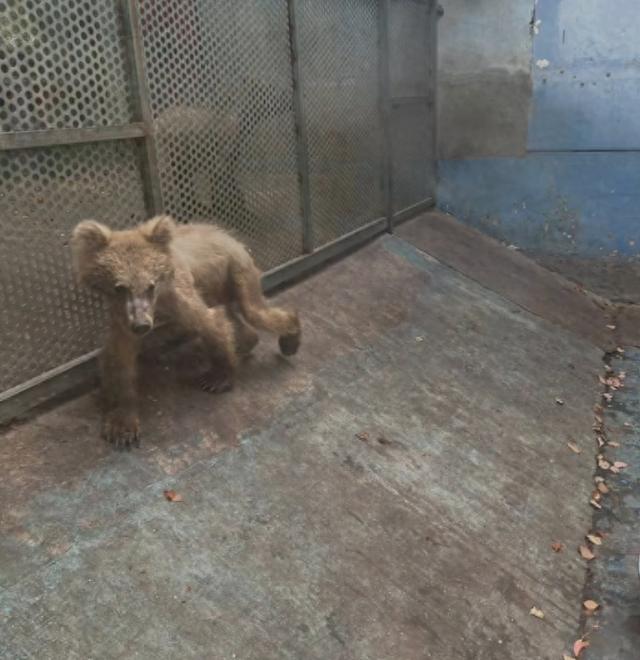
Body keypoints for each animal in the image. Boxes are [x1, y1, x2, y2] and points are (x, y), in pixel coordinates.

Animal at [71, 217, 302, 448]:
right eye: (120, 287)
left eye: (150, 285)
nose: (142, 325)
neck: (157, 304)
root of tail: (230, 237)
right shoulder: (122, 318)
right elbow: (120, 358)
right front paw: (122, 427)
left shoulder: (180, 298)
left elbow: (210, 322)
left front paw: (218, 379)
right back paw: (246, 342)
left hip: (237, 272)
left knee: (254, 311)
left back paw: (290, 338)